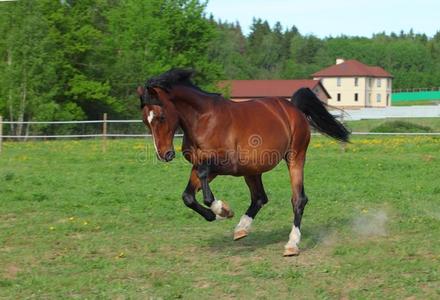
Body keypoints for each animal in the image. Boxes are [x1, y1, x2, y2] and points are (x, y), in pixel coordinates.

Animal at [138, 68, 350, 255]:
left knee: (298, 199)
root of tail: (293, 108)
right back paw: (242, 228)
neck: (203, 120)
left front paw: (222, 210)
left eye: (161, 116)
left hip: (294, 158)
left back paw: (292, 244)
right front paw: (216, 214)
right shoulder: (199, 164)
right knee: (260, 198)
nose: (164, 154)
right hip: (252, 169)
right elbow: (188, 196)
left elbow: (204, 184)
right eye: (145, 121)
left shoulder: (226, 165)